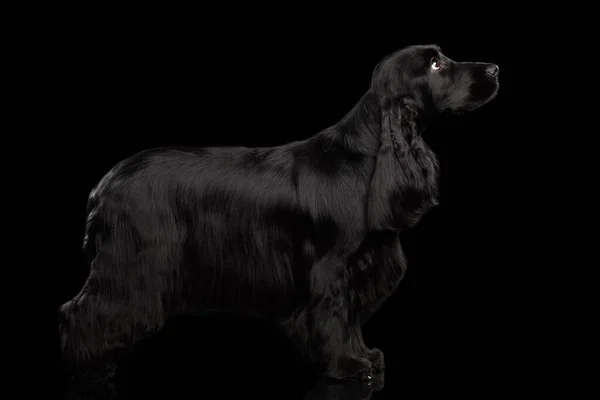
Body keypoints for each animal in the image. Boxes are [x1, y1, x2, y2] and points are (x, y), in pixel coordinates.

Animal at [59, 44, 502, 384]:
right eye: (436, 65)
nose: (495, 68)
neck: (370, 155)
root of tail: (103, 183)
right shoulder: (329, 265)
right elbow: (333, 315)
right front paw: (347, 365)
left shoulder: (358, 267)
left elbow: (351, 318)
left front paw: (365, 357)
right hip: (130, 264)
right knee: (81, 310)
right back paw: (89, 368)